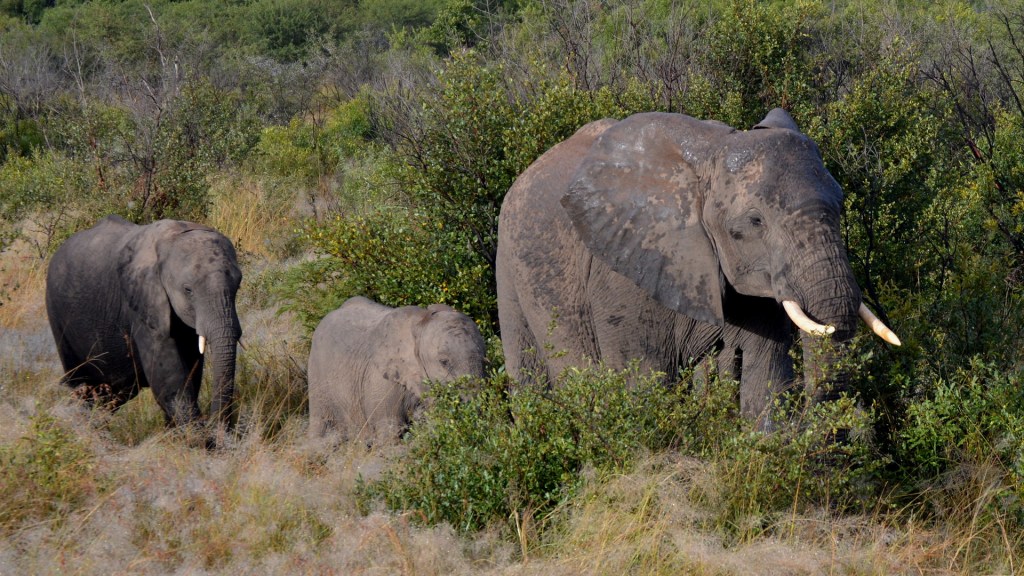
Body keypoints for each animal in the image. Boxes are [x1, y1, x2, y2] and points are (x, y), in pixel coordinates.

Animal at [45, 215, 242, 432]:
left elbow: (192, 367)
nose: (216, 425)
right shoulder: (142, 302)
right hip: (57, 315)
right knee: (81, 386)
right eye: (188, 290)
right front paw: (197, 435)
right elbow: (168, 377)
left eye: (238, 285)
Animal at [307, 296, 486, 443]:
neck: (420, 323)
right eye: (444, 362)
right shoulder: (380, 380)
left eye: (486, 357)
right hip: (316, 372)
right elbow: (389, 429)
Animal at [495, 108, 900, 429]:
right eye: (754, 222)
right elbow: (643, 380)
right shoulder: (622, 270)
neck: (710, 155)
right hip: (509, 266)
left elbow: (763, 374)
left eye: (841, 205)